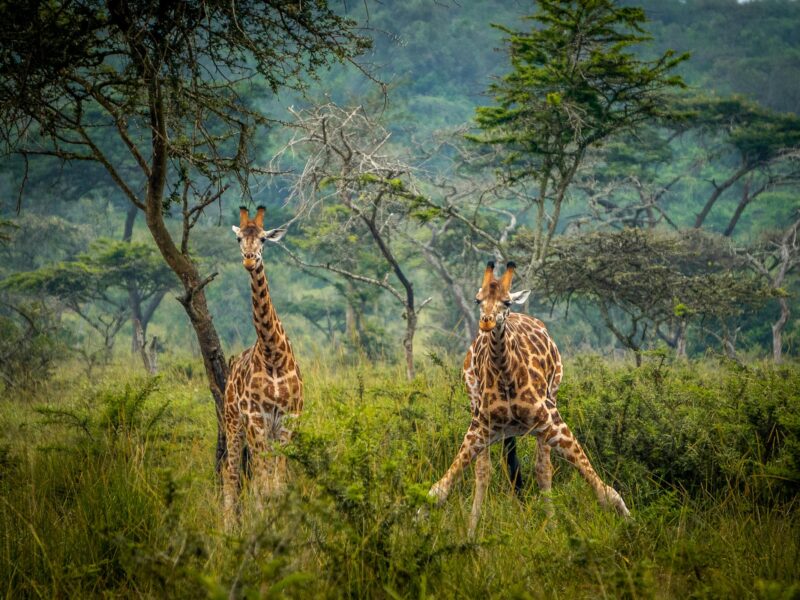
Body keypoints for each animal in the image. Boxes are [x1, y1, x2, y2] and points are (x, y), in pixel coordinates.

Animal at [223, 206, 303, 527]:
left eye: (264, 240)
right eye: (238, 239)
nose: (249, 259)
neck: (272, 354)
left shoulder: (288, 418)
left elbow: (278, 482)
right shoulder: (256, 418)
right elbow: (263, 483)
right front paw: (262, 522)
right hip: (233, 421)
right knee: (231, 472)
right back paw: (228, 527)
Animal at [427, 261, 629, 537]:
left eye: (506, 302)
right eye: (478, 300)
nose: (487, 322)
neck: (505, 372)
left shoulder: (550, 420)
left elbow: (602, 490)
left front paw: (629, 521)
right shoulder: (481, 425)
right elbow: (439, 490)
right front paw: (458, 532)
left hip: (550, 403)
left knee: (542, 469)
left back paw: (552, 526)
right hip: (477, 408)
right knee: (485, 470)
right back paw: (475, 529)